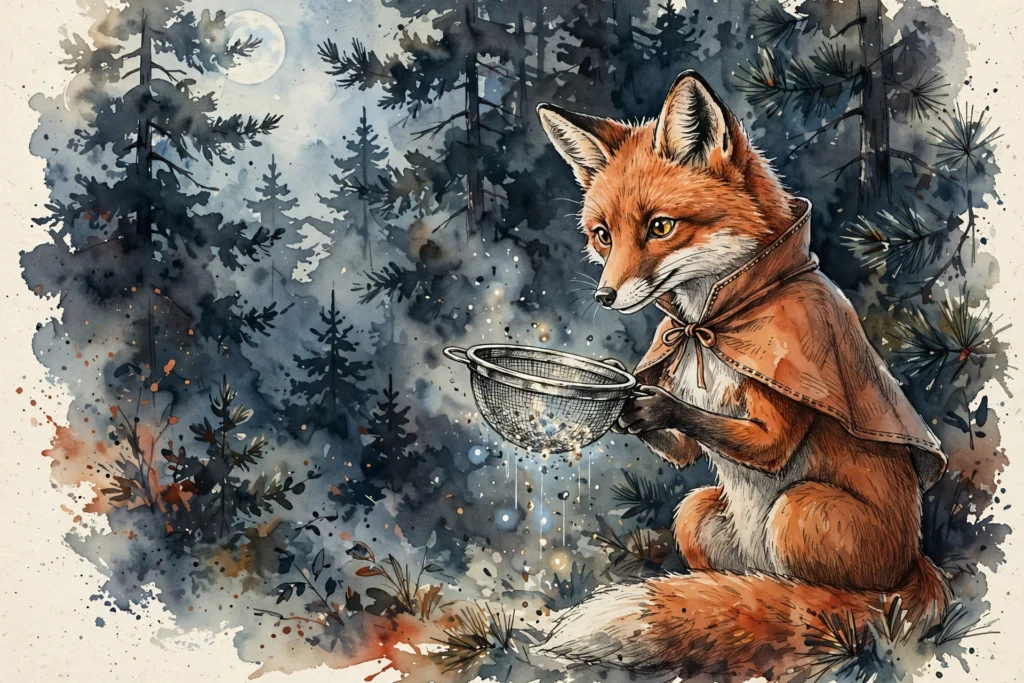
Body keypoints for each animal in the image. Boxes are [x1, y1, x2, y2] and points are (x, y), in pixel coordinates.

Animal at [535, 71, 951, 678]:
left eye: (661, 227)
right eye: (602, 235)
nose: (604, 297)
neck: (708, 327)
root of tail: (916, 565)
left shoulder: (791, 374)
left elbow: (760, 438)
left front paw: (654, 402)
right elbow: (682, 446)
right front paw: (622, 390)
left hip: (798, 513)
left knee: (833, 602)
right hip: (698, 512)